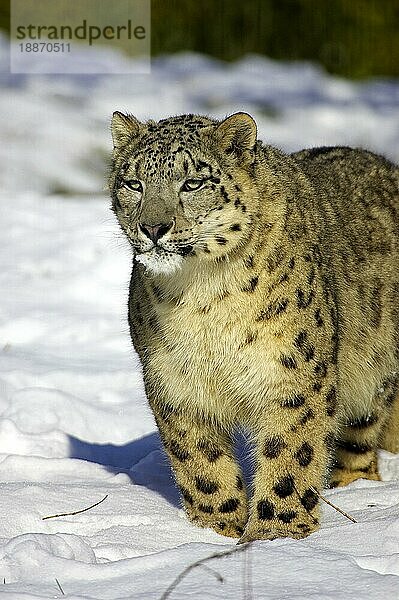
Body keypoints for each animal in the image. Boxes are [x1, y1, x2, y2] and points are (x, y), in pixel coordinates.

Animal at [109, 110, 399, 540]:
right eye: (134, 183)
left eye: (193, 182)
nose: (153, 227)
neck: (201, 300)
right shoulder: (175, 379)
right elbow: (201, 463)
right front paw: (216, 530)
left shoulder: (293, 374)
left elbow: (289, 457)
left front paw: (274, 534)